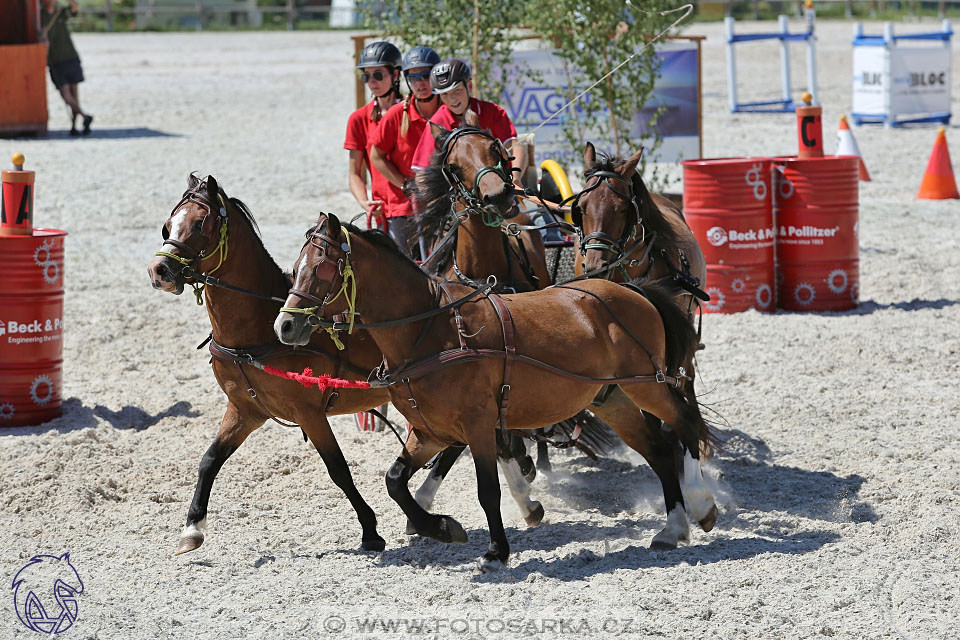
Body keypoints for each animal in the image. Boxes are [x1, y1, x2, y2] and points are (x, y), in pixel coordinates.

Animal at [274, 214, 716, 568]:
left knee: (684, 426)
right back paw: (672, 528)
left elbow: (488, 490)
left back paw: (701, 504)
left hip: (646, 387)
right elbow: (394, 480)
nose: (285, 326)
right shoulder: (431, 430)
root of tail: (635, 291)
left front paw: (495, 551)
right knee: (659, 451)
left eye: (322, 268)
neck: (432, 332)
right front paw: (441, 527)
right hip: (613, 400)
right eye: (294, 268)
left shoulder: (478, 426)